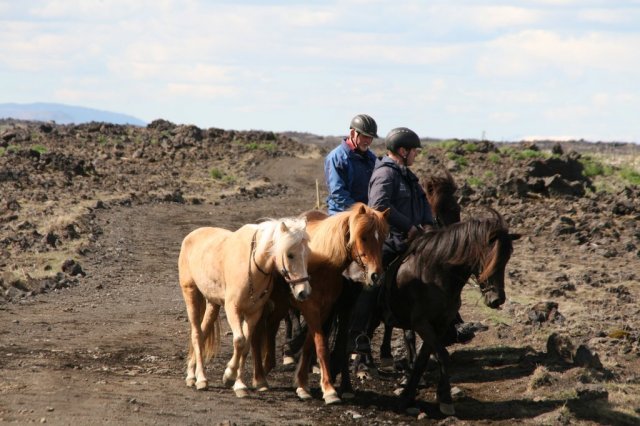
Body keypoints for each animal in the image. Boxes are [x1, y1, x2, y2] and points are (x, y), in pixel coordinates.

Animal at [179, 218, 312, 398]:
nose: (304, 292)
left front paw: (239, 384)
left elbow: (246, 346)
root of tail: (190, 236)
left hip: (213, 303)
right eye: (290, 255)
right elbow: (239, 341)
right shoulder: (233, 309)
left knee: (203, 332)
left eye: (307, 255)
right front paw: (229, 376)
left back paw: (191, 374)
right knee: (197, 334)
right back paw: (200, 378)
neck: (254, 266)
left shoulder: (254, 312)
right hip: (191, 293)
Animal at [252, 203, 388, 402]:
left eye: (383, 239)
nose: (375, 275)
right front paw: (329, 389)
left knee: (271, 327)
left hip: (282, 304)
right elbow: (322, 345)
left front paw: (303, 384)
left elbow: (314, 344)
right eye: (363, 237)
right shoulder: (312, 309)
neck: (324, 264)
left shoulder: (331, 310)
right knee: (262, 329)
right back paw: (262, 373)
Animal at [384, 210, 520, 416]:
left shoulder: (439, 324)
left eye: (506, 260)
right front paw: (442, 397)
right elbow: (442, 355)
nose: (497, 299)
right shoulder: (422, 323)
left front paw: (416, 396)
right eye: (489, 257)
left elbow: (425, 359)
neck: (434, 274)